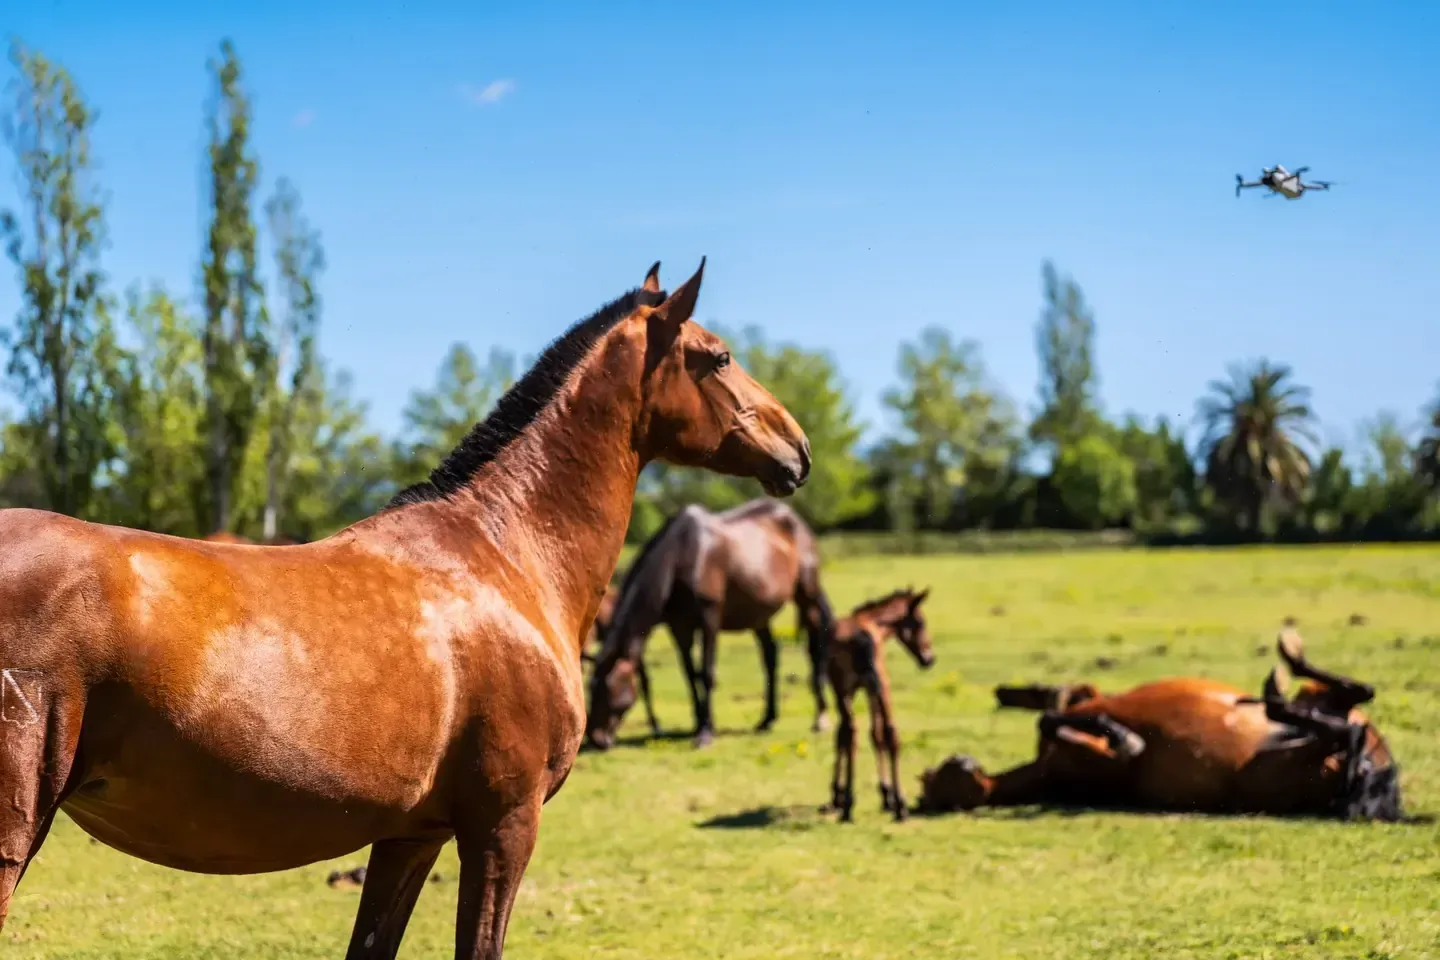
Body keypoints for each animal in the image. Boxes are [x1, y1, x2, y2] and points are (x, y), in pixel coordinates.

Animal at [584, 498, 834, 750]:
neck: (683, 556)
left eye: (609, 688)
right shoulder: (679, 628)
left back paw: (820, 718)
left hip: (807, 597)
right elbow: (690, 675)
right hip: (758, 615)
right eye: (590, 688)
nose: (596, 739)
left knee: (814, 649)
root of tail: (795, 519)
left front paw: (706, 732)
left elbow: (706, 673)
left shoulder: (709, 620)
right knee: (770, 656)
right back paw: (766, 720)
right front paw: (697, 723)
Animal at [824, 588, 934, 823]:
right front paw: (885, 795)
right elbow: (875, 734)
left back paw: (851, 804)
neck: (873, 622)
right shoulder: (865, 688)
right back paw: (899, 805)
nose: (929, 658)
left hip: (858, 686)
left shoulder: (853, 689)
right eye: (921, 621)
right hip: (880, 684)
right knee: (890, 731)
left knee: (852, 731)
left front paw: (837, 795)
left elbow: (850, 735)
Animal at [915, 628, 1405, 822]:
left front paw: (1013, 692)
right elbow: (1079, 726)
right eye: (937, 788)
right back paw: (1280, 681)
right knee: (1347, 725)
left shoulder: (1084, 697)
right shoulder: (1098, 757)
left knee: (1352, 700)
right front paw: (1122, 735)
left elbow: (1053, 702)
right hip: (1280, 764)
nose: (960, 759)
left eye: (937, 776)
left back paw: (1284, 671)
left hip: (1318, 707)